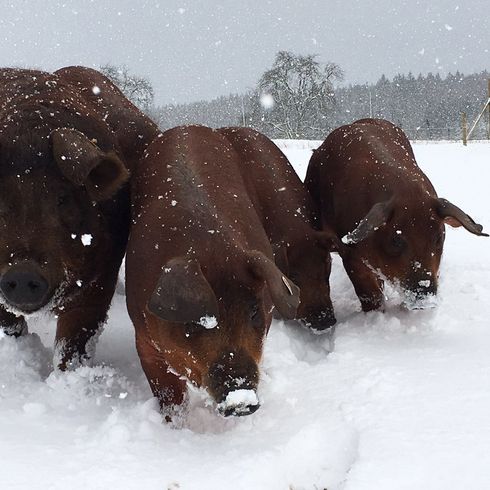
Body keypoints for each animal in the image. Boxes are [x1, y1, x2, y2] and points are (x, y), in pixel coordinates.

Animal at [124, 125, 300, 418]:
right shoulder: (144, 342)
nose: (240, 400)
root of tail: (187, 127)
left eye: (254, 311)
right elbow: (169, 397)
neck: (211, 249)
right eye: (197, 322)